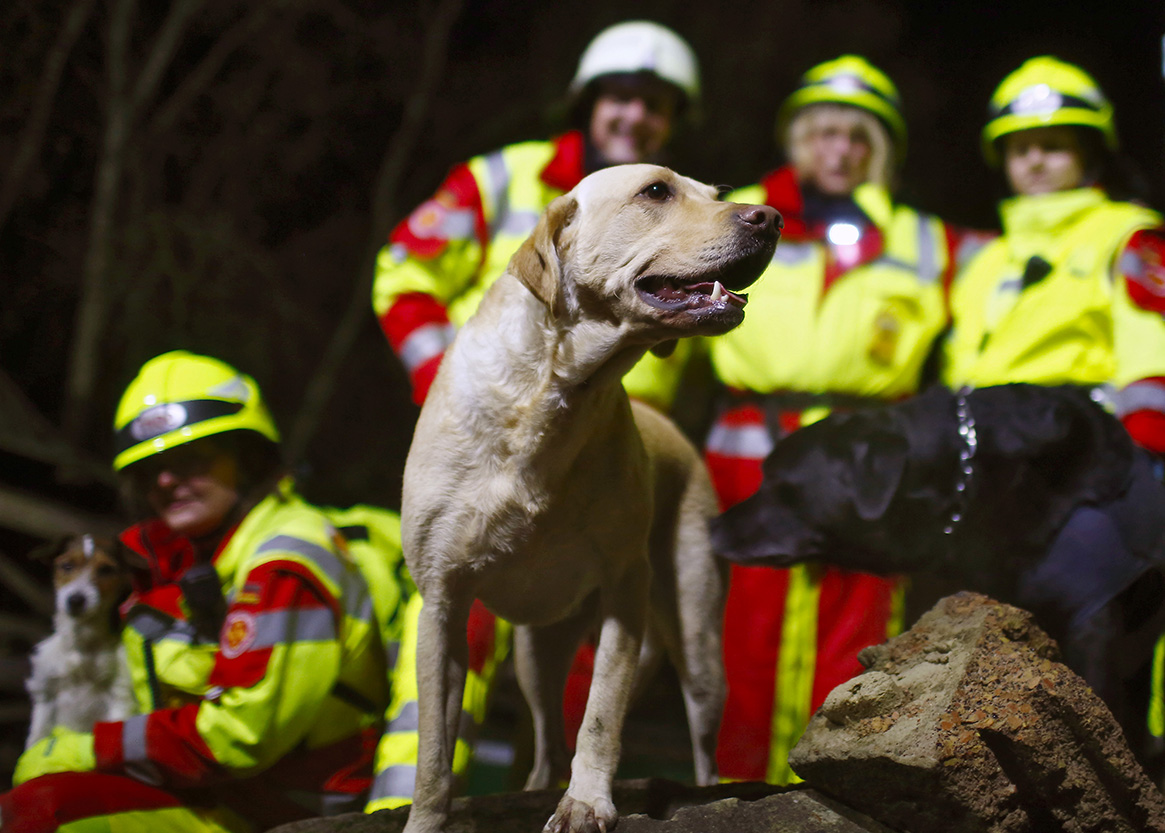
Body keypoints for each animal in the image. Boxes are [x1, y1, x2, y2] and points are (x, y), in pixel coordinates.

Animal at [24, 533, 136, 750]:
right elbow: (36, 738)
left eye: (106, 569)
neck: (83, 643)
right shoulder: (46, 696)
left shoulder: (120, 696)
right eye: (67, 566)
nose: (76, 600)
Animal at [403, 164, 782, 833]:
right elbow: (433, 754)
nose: (772, 217)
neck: (552, 394)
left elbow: (602, 711)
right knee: (546, 743)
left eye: (715, 195)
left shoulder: (625, 588)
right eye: (656, 191)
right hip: (536, 653)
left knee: (700, 745)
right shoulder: (442, 602)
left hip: (698, 644)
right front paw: (425, 820)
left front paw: (585, 803)